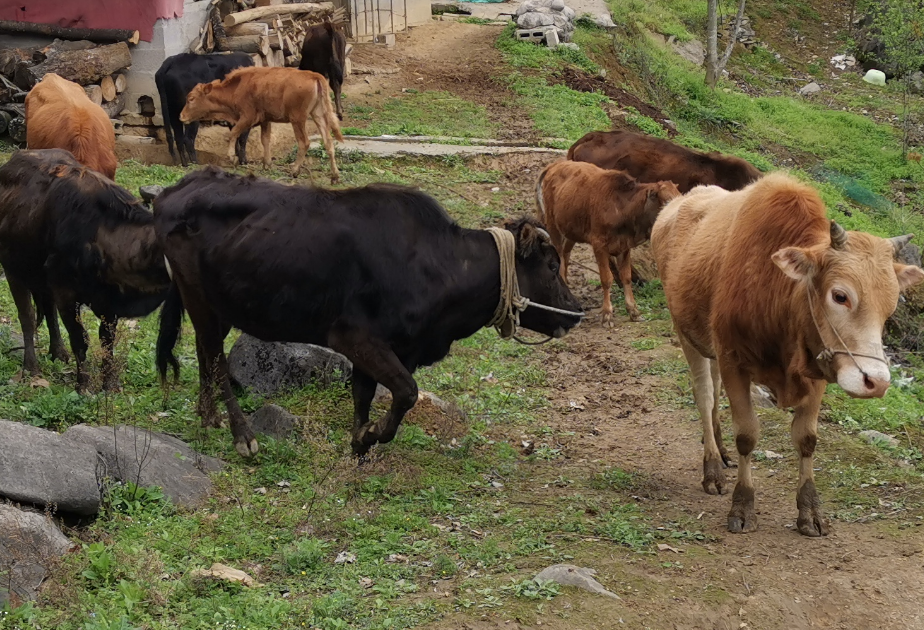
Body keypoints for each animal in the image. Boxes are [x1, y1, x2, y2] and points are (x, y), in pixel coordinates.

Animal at [0, 151, 173, 392]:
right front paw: (83, 385)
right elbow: (80, 339)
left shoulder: (109, 302)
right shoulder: (65, 293)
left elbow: (107, 340)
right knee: (27, 317)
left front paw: (110, 384)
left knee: (48, 310)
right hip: (14, 270)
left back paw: (59, 352)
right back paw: (31, 367)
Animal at [154, 168, 580, 460]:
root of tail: (177, 189)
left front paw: (359, 443)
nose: (576, 311)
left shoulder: (381, 348)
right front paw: (372, 435)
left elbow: (363, 395)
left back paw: (207, 416)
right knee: (215, 358)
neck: (438, 263)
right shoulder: (354, 337)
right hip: (200, 299)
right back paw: (242, 435)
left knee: (205, 352)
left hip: (216, 305)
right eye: (551, 266)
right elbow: (406, 391)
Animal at [178, 68, 342, 184]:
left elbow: (233, 133)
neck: (237, 88)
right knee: (328, 142)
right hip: (318, 115)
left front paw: (232, 158)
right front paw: (267, 164)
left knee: (304, 143)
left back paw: (295, 170)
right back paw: (334, 176)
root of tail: (314, 76)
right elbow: (265, 140)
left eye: (191, 98)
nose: (181, 116)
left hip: (298, 120)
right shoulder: (265, 120)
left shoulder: (247, 117)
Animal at [536, 160, 684, 326]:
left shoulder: (624, 247)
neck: (621, 206)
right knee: (559, 254)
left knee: (565, 254)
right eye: (666, 202)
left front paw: (633, 311)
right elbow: (606, 279)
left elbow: (626, 277)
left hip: (571, 229)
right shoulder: (599, 246)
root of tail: (557, 164)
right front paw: (607, 314)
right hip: (552, 225)